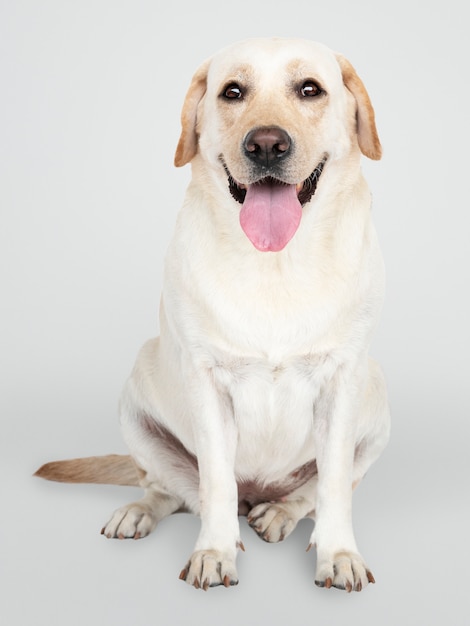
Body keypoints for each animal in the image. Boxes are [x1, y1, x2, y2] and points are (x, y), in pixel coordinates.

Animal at [35, 36, 390, 592]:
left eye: (310, 89)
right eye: (232, 92)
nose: (266, 145)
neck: (276, 265)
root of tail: (258, 492)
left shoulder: (343, 380)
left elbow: (333, 486)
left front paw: (338, 555)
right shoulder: (207, 382)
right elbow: (215, 483)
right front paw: (214, 553)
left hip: (376, 410)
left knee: (311, 493)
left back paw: (278, 512)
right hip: (136, 401)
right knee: (174, 491)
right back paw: (138, 512)